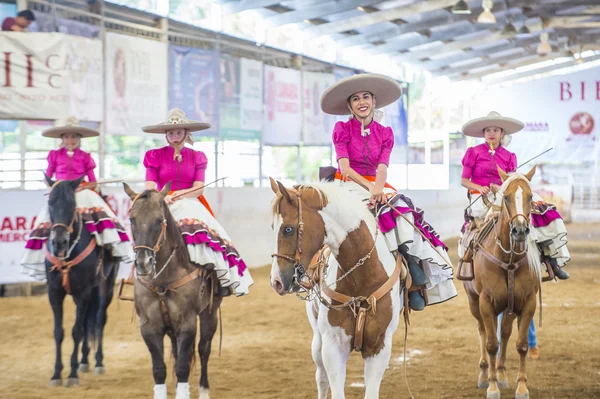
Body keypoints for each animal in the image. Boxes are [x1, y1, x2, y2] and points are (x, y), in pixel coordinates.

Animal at [44, 175, 119, 388]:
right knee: (87, 321)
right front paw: (56, 374)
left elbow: (77, 330)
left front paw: (71, 375)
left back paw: (98, 362)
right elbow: (59, 332)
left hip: (105, 286)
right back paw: (84, 361)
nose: (59, 242)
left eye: (72, 204)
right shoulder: (55, 292)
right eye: (50, 202)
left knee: (99, 319)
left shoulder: (84, 290)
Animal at [123, 184, 221, 399]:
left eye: (159, 220)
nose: (143, 263)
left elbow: (183, 367)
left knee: (204, 349)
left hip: (210, 312)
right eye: (132, 219)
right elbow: (159, 369)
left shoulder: (187, 324)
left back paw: (204, 390)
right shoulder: (149, 327)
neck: (162, 280)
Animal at [270, 180, 404, 399]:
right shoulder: (333, 347)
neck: (362, 280)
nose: (276, 282)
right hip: (318, 342)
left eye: (288, 229)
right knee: (321, 378)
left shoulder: (379, 346)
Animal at [462, 166, 540, 399]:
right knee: (482, 331)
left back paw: (502, 373)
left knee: (504, 333)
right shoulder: (486, 303)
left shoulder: (528, 302)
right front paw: (492, 387)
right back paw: (484, 374)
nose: (520, 230)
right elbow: (490, 344)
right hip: (474, 302)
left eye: (530, 196)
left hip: (508, 306)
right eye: (506, 197)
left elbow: (520, 345)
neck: (509, 260)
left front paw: (521, 387)